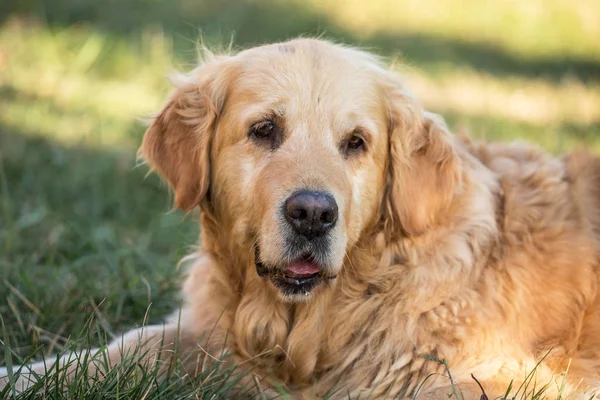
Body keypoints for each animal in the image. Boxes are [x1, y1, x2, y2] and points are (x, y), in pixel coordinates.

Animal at [3, 36, 600, 396]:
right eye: (264, 129)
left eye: (356, 142)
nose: (312, 214)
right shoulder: (209, 336)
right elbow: (123, 348)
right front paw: (21, 375)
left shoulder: (487, 377)